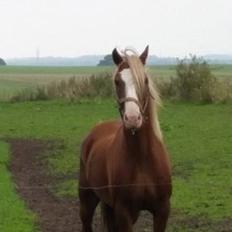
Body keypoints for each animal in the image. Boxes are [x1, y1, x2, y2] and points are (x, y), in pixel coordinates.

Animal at [79, 46, 171, 231]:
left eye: (145, 80)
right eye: (117, 81)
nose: (133, 118)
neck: (142, 157)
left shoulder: (162, 211)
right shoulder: (124, 212)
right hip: (87, 199)